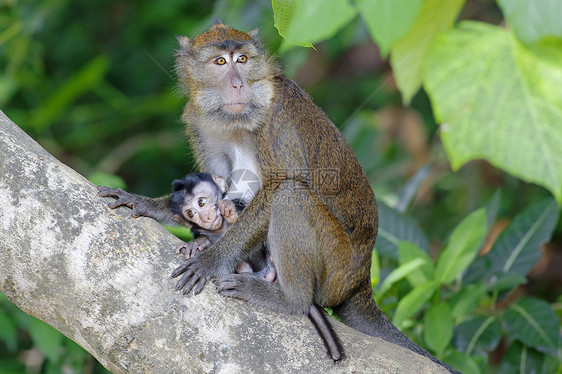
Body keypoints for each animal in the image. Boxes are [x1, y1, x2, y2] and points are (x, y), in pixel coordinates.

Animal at [167, 21, 460, 372]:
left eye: (242, 59)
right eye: (220, 63)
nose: (238, 84)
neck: (234, 121)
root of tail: (360, 282)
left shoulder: (275, 116)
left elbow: (279, 185)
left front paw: (211, 259)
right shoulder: (199, 122)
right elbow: (214, 185)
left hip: (335, 266)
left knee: (291, 197)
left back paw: (290, 300)